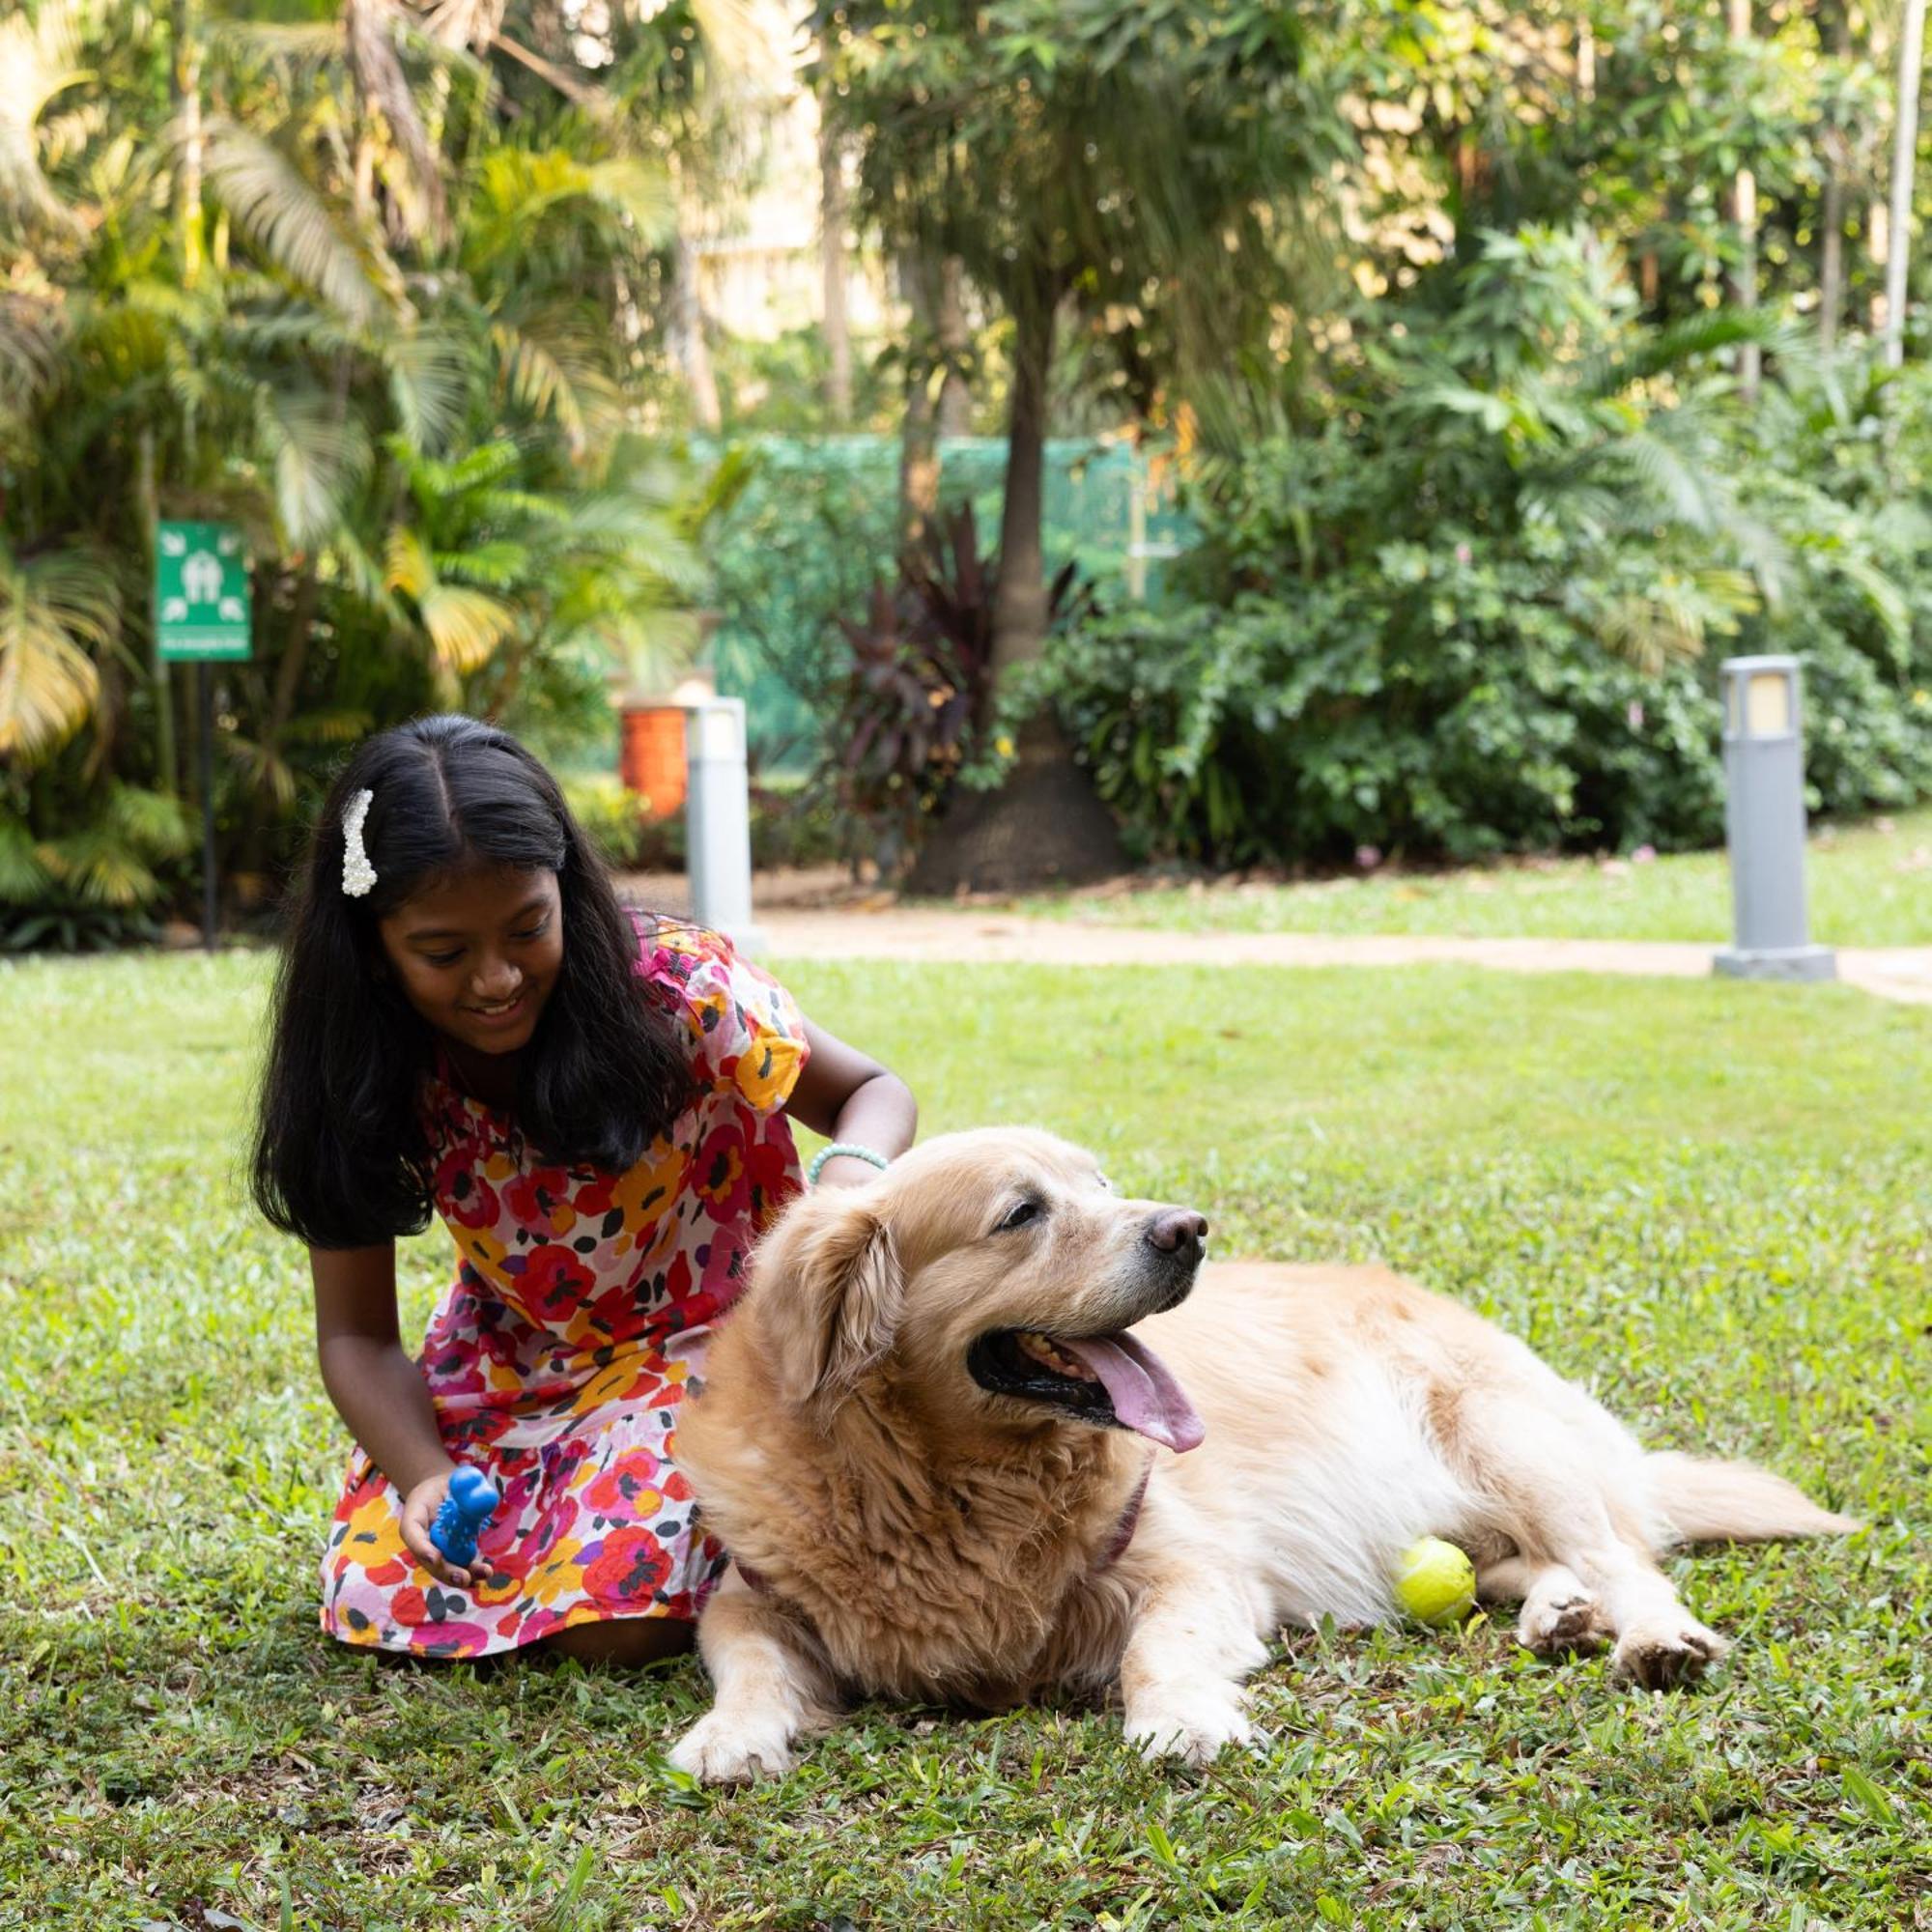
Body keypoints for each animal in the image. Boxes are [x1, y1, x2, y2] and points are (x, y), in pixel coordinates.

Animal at [665, 1128, 1855, 1777]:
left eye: (1103, 1185)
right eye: (1021, 1212)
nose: (1187, 1229)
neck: (947, 1483)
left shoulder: (1194, 1569)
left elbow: (1157, 1648)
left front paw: (1182, 1718)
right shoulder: (750, 1592)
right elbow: (749, 1659)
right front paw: (731, 1734)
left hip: (1503, 1435)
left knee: (1626, 1556)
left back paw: (1644, 1634)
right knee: (1530, 1563)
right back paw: (1556, 1613)